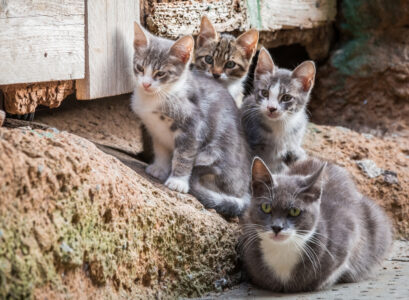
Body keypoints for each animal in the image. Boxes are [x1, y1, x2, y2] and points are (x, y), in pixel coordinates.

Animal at [131, 22, 252, 217]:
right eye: (140, 68)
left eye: (160, 74)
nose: (146, 84)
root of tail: (245, 191)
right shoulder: (155, 129)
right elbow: (161, 150)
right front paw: (159, 168)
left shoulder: (193, 126)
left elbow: (184, 155)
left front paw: (178, 181)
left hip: (210, 156)